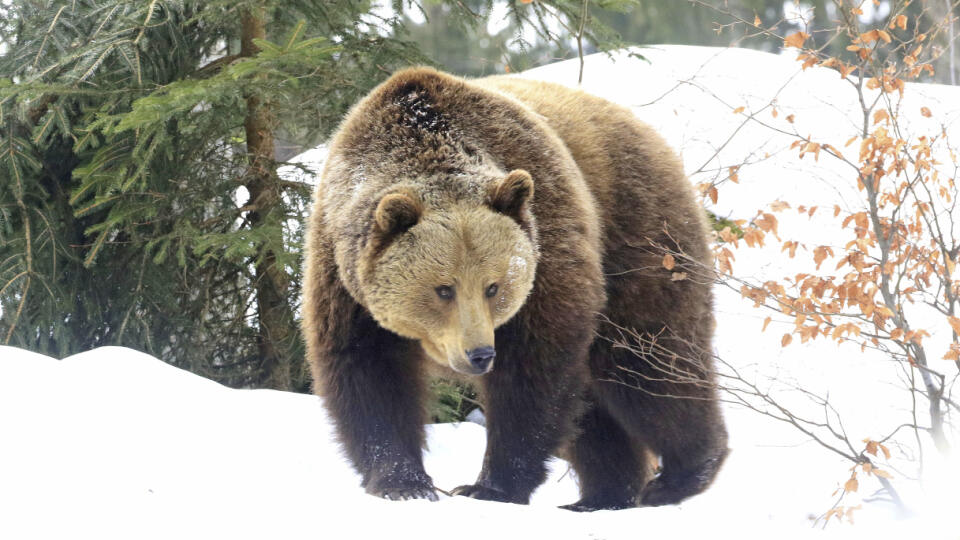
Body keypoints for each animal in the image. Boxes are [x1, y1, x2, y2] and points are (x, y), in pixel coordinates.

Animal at [300, 66, 728, 510]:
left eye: (493, 286)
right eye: (443, 289)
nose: (479, 354)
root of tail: (648, 131)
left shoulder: (546, 243)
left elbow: (532, 372)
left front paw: (489, 486)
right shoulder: (343, 274)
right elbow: (368, 370)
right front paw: (403, 482)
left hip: (637, 237)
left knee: (646, 362)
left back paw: (681, 474)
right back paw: (603, 495)